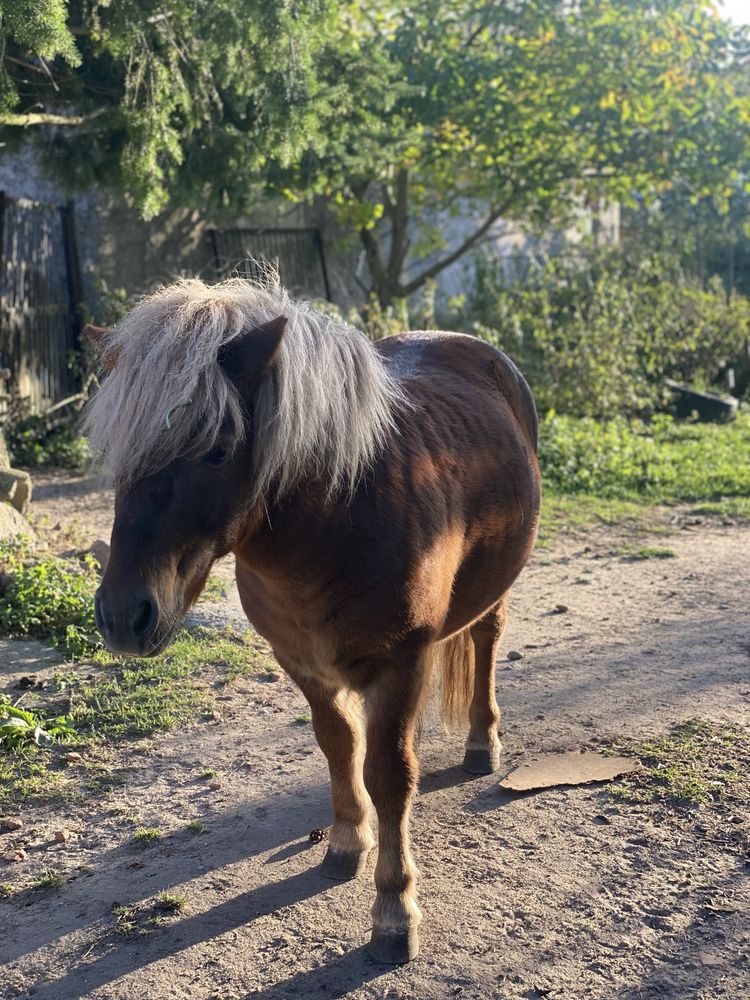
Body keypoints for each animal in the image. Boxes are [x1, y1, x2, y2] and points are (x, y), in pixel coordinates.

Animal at [83, 278, 540, 964]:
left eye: (218, 449)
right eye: (120, 452)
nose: (122, 616)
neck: (341, 518)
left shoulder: (400, 666)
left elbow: (390, 776)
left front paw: (394, 910)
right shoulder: (302, 664)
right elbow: (338, 746)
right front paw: (348, 842)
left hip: (493, 594)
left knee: (486, 639)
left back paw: (482, 743)